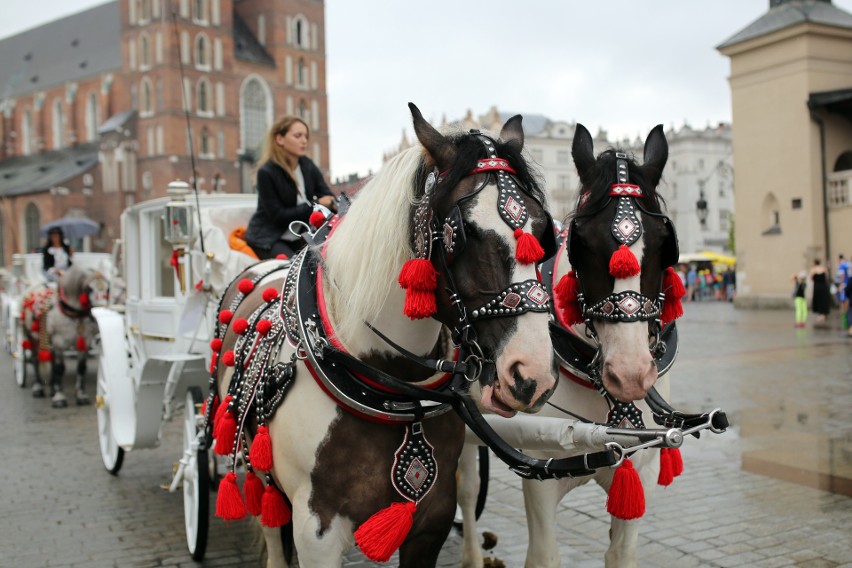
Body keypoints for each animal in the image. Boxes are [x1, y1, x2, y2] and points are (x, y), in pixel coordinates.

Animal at [21, 266, 110, 408]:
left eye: (107, 289)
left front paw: (81, 395)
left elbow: (81, 368)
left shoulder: (84, 342)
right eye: (89, 289)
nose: (98, 316)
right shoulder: (58, 343)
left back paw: (52, 387)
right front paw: (59, 397)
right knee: (35, 360)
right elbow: (59, 368)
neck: (72, 313)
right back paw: (38, 388)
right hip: (31, 337)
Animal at [209, 104, 564, 564]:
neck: (390, 384)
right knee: (269, 524)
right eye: (464, 231)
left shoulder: (431, 519)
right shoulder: (316, 533)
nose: (533, 373)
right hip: (253, 460)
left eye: (542, 229)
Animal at [460, 124, 684, 568]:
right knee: (465, 486)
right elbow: (544, 555)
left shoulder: (637, 472)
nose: (630, 374)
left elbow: (621, 554)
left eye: (662, 243)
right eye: (582, 241)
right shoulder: (540, 472)